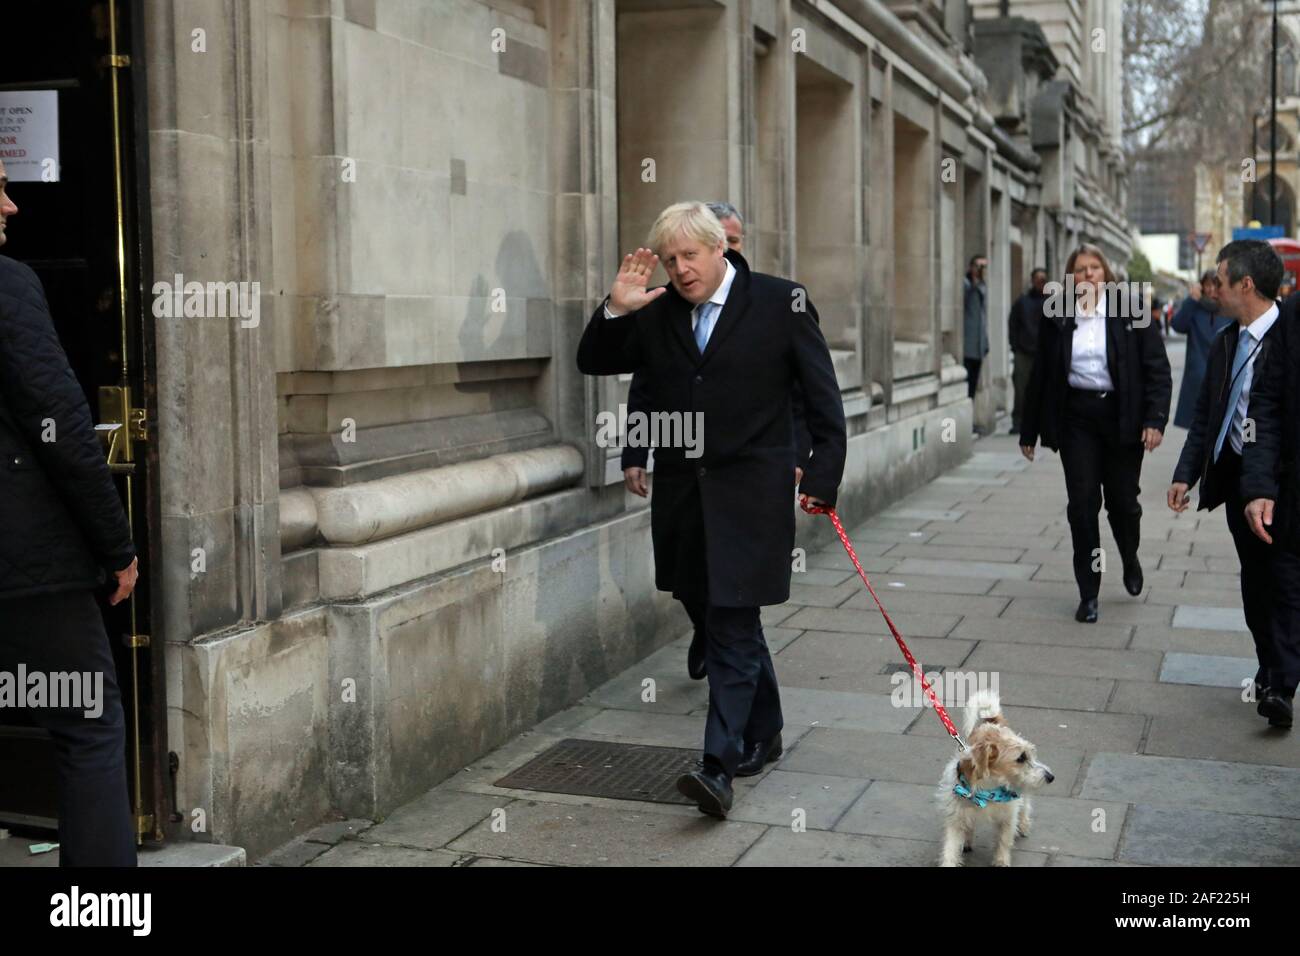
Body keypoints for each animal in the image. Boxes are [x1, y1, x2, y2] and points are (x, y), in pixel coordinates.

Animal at [941, 686, 1050, 868]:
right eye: (1021, 758)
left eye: (1030, 755)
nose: (1050, 776)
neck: (987, 791)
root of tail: (992, 723)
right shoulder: (956, 818)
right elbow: (951, 849)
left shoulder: (1008, 816)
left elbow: (1004, 841)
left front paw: (1001, 861)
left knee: (1025, 804)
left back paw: (1023, 825)